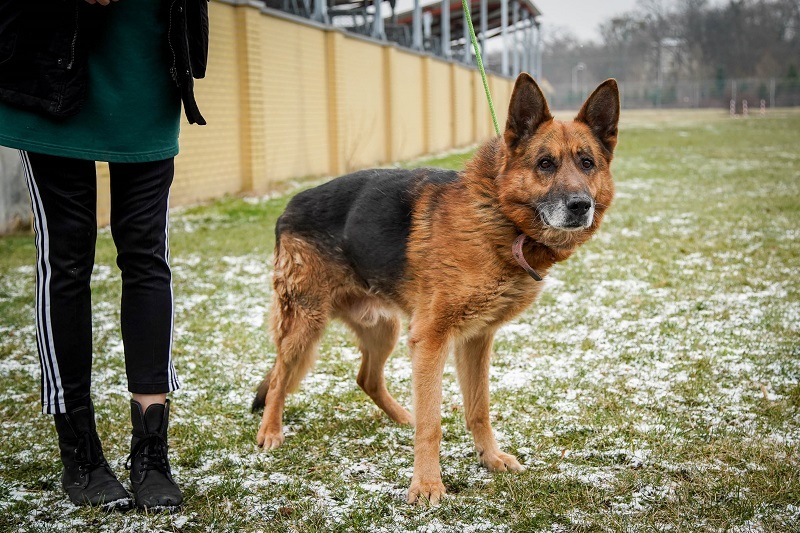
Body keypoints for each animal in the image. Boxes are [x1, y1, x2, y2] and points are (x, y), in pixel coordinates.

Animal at [250, 74, 620, 502]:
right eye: (545, 163)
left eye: (587, 163)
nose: (580, 205)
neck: (498, 215)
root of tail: (289, 206)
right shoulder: (431, 340)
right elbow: (433, 423)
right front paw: (427, 485)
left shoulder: (475, 340)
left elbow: (478, 408)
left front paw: (489, 458)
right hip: (306, 324)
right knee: (280, 377)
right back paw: (270, 431)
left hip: (385, 328)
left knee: (366, 378)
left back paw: (401, 416)